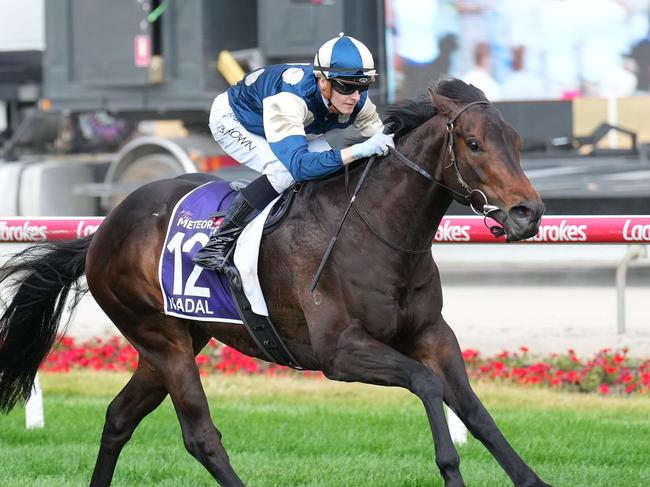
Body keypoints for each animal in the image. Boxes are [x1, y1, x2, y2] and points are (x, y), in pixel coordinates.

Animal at [0, 81, 552, 487]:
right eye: (474, 144)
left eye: (517, 143)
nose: (528, 213)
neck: (375, 229)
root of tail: (101, 232)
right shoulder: (339, 353)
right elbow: (427, 384)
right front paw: (450, 469)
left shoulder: (432, 334)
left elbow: (475, 411)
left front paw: (532, 480)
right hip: (162, 340)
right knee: (200, 436)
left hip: (175, 338)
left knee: (118, 418)